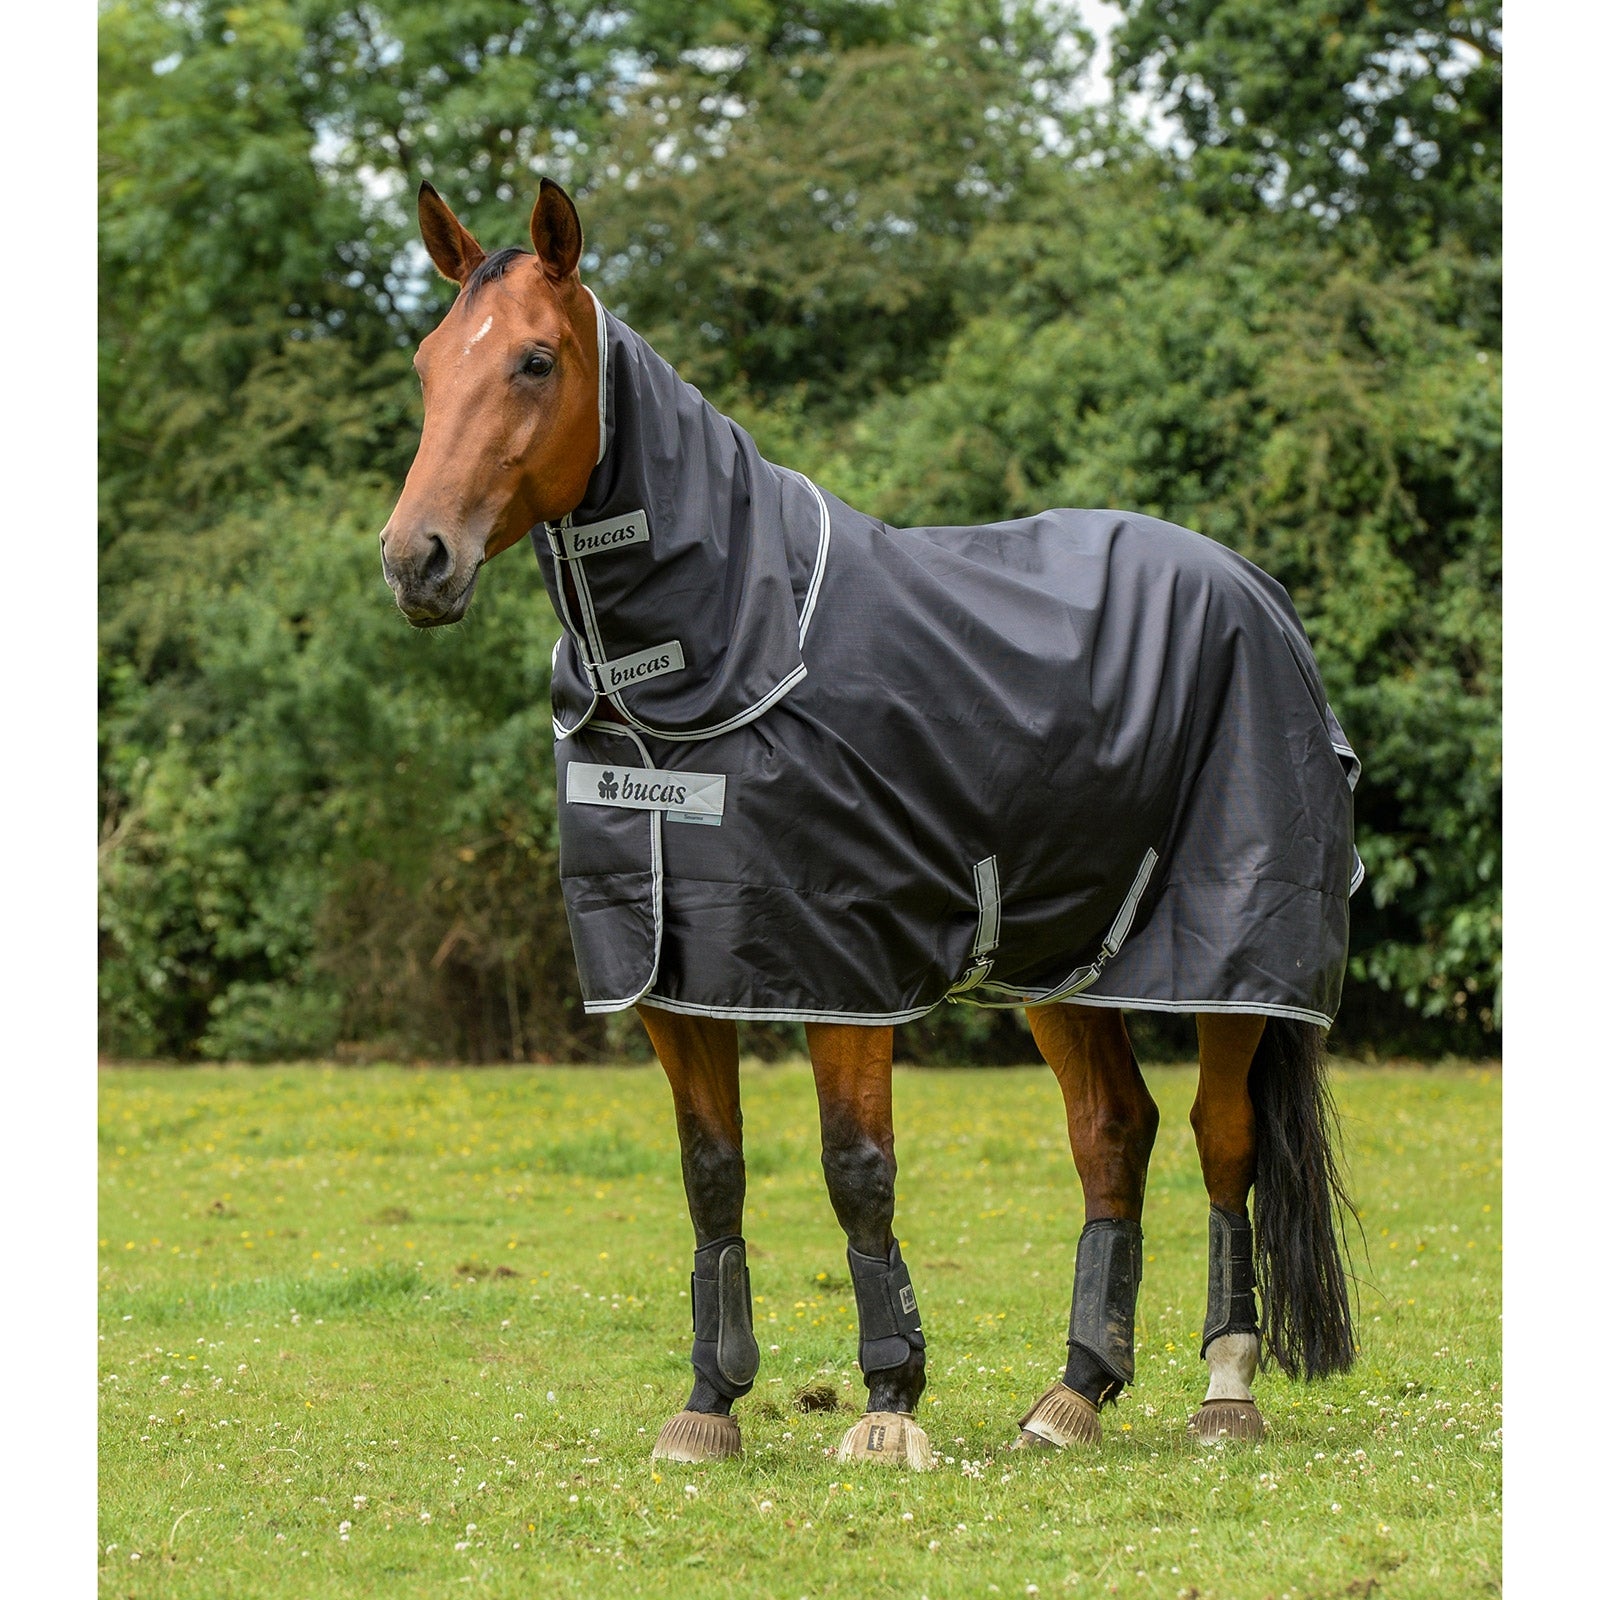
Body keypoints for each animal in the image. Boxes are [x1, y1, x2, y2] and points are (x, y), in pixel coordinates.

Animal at [379, 177, 1360, 1468]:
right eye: (428, 365)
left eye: (535, 360)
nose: (415, 558)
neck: (721, 654)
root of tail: (1257, 590)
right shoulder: (668, 975)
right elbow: (712, 1175)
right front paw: (707, 1405)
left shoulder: (840, 965)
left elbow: (858, 1169)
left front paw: (890, 1403)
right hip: (1055, 958)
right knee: (1114, 1129)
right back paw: (1072, 1394)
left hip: (1236, 953)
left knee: (1218, 1131)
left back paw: (1225, 1388)